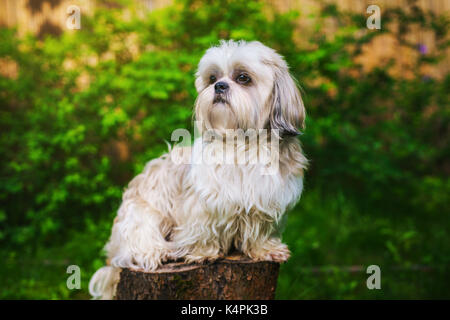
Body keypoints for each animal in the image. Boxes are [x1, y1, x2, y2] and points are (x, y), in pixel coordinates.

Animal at [88, 40, 308, 300]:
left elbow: (260, 231)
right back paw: (158, 251)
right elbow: (203, 227)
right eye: (212, 78)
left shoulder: (267, 201)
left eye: (243, 77)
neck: (241, 144)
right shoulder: (203, 203)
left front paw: (265, 250)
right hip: (141, 215)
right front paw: (204, 252)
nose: (219, 86)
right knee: (137, 244)